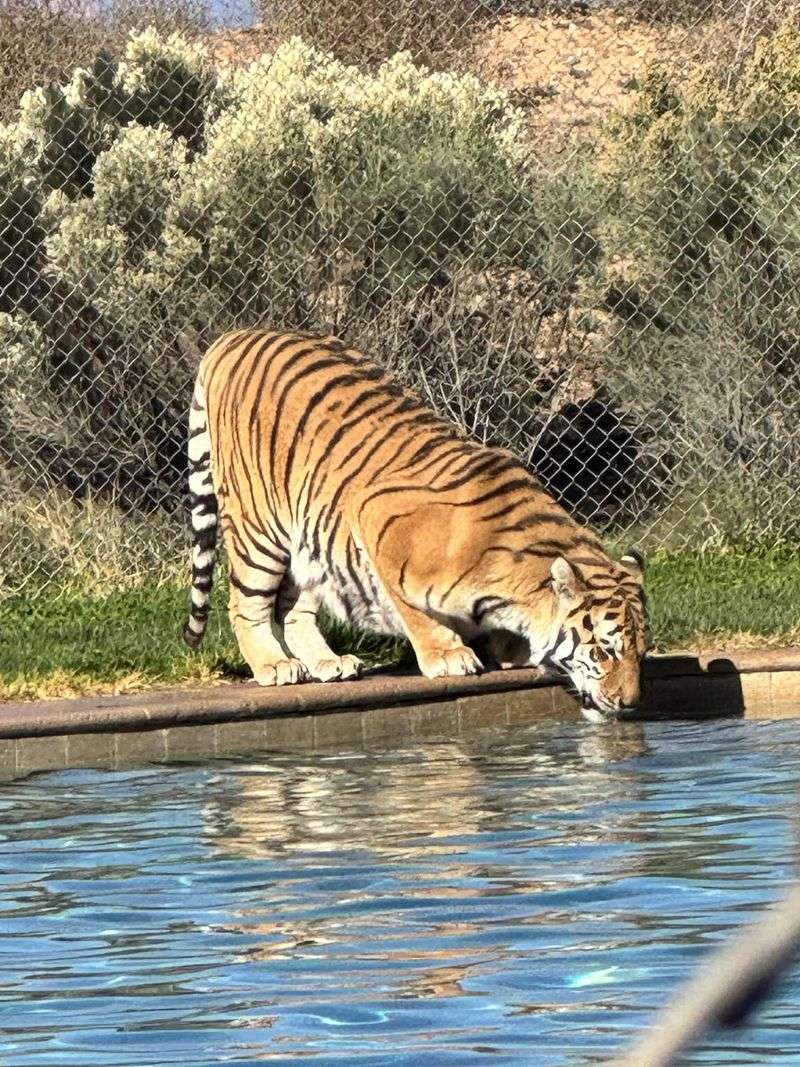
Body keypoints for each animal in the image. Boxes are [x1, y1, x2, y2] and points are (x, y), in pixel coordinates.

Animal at [182, 328, 650, 719]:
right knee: (245, 603)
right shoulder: (376, 520)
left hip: (309, 540)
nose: (629, 703)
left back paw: (328, 662)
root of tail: (236, 335)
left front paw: (508, 649)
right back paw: (275, 665)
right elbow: (412, 607)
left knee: (296, 609)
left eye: (642, 653)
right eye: (604, 652)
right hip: (258, 528)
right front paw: (448, 655)